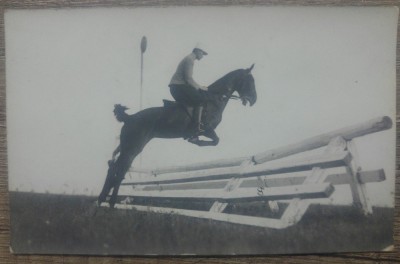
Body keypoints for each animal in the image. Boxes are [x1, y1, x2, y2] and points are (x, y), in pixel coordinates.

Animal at [98, 64, 258, 208]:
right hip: (133, 148)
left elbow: (216, 141)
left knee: (115, 168)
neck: (215, 99)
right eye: (250, 80)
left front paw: (195, 140)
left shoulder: (209, 131)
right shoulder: (207, 129)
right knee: (118, 169)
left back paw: (103, 200)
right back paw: (109, 202)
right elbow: (216, 140)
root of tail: (129, 118)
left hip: (127, 147)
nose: (253, 100)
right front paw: (195, 140)